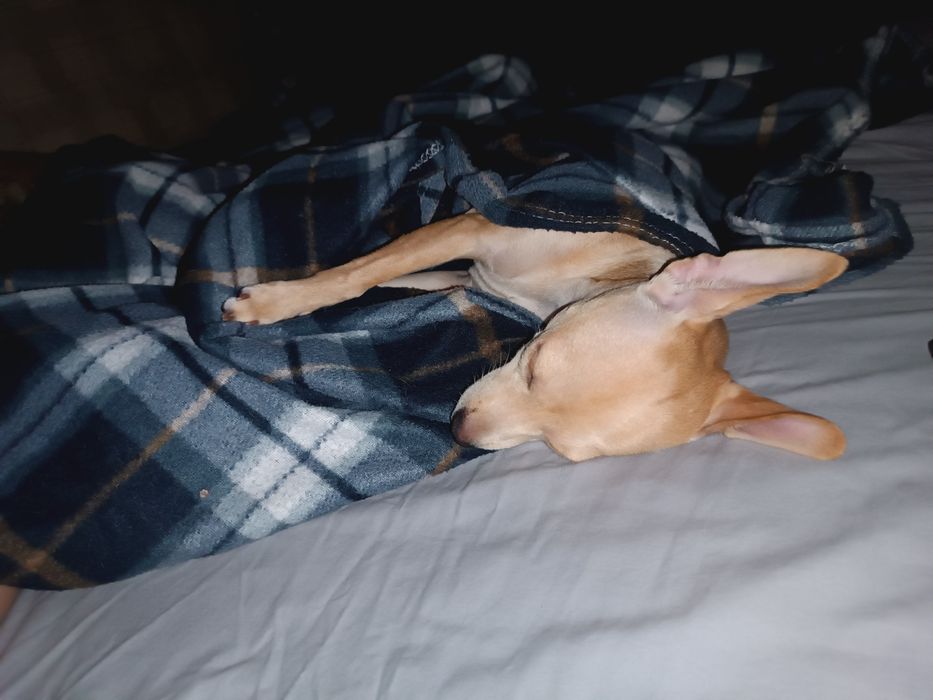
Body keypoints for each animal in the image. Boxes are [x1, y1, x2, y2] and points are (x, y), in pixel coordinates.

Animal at [222, 211, 848, 462]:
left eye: (555, 448)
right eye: (534, 363)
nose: (458, 429)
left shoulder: (461, 270)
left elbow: (385, 275)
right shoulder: (471, 227)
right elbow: (360, 271)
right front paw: (278, 300)